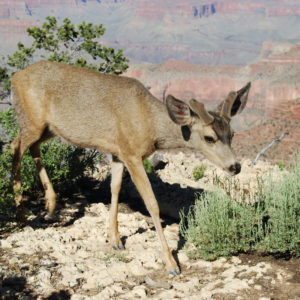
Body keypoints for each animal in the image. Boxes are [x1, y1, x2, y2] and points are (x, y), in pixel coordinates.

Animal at [10, 61, 251, 276]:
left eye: (232, 134)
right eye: (209, 138)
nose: (235, 166)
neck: (150, 125)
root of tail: (15, 76)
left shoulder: (119, 151)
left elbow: (115, 188)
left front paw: (115, 239)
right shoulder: (133, 154)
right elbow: (152, 203)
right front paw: (171, 264)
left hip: (48, 127)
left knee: (32, 147)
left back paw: (50, 204)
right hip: (32, 120)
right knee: (15, 147)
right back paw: (21, 214)